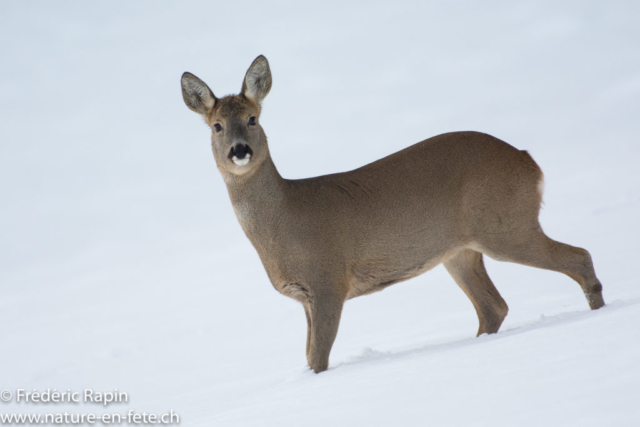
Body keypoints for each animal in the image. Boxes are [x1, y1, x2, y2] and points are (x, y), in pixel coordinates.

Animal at [179, 54, 604, 374]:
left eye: (253, 119)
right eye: (216, 126)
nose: (239, 150)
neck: (284, 220)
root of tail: (529, 162)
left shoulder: (328, 280)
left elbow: (317, 359)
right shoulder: (306, 296)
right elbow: (307, 356)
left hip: (505, 223)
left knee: (578, 256)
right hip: (460, 251)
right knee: (494, 307)